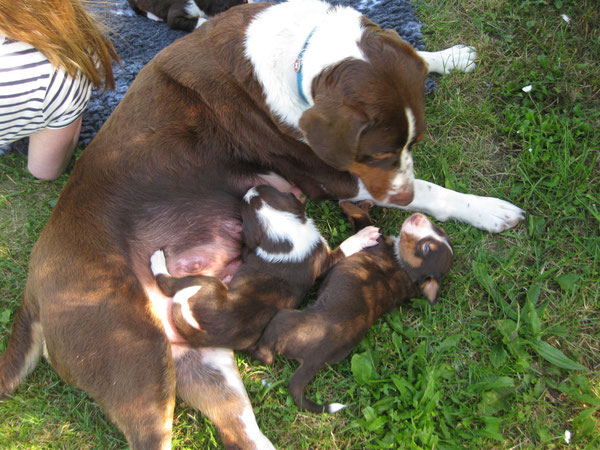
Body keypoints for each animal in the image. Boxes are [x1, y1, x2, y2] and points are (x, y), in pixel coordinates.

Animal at [148, 185, 380, 350]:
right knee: (166, 283)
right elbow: (344, 249)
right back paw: (157, 260)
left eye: (265, 190)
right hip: (207, 284)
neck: (284, 232)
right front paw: (365, 235)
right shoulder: (323, 262)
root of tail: (213, 337)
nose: (250, 189)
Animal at [250, 202, 454, 414]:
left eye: (426, 247)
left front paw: (348, 205)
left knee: (265, 355)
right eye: (438, 231)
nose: (418, 217)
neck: (405, 269)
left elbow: (359, 216)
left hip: (283, 318)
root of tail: (316, 359)